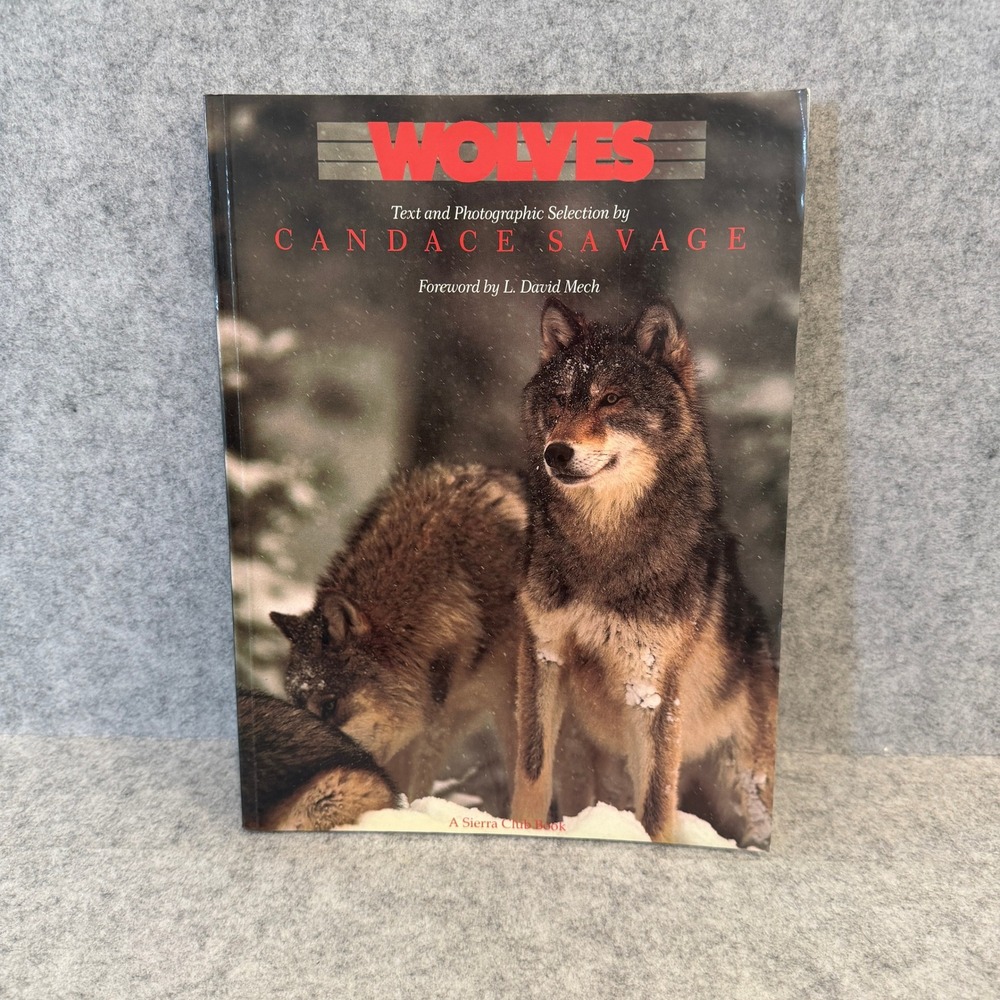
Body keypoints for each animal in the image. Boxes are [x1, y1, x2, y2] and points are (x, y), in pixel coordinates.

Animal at [511, 297, 779, 848]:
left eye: (611, 399)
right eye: (560, 400)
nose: (556, 452)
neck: (602, 549)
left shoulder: (650, 688)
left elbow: (655, 807)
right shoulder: (544, 653)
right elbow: (531, 771)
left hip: (744, 787)